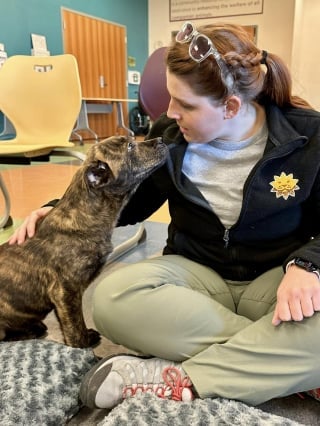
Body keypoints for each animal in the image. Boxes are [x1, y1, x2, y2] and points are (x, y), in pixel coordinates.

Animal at [0, 136, 168, 346]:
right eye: (130, 147)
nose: (161, 139)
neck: (84, 214)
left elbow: (74, 324)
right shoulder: (65, 292)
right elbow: (74, 327)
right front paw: (83, 347)